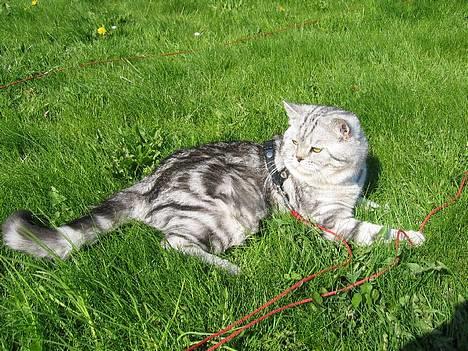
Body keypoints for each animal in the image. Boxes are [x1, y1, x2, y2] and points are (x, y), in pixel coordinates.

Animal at [0, 102, 424, 276]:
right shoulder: (327, 219)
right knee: (172, 244)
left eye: (316, 149)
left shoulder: (350, 198)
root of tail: (147, 182)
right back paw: (230, 269)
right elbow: (370, 231)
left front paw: (383, 204)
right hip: (228, 215)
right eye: (293, 143)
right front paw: (412, 236)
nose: (298, 158)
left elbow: (368, 204)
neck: (343, 178)